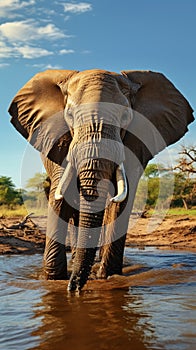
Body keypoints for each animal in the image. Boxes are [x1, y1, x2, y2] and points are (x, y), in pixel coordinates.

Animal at [7, 67, 193, 290]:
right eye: (69, 115)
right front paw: (55, 280)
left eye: (125, 116)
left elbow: (122, 202)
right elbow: (61, 196)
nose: (74, 288)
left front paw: (107, 277)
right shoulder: (60, 144)